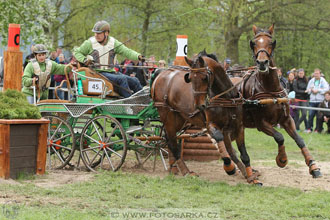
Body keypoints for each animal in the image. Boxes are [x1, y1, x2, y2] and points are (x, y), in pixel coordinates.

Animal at [151, 51, 262, 184]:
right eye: (190, 78)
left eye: (205, 78)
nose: (200, 106)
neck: (225, 98)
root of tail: (161, 75)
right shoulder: (211, 125)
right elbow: (223, 145)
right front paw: (229, 167)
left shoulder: (238, 126)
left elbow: (240, 153)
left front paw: (250, 176)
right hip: (168, 117)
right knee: (172, 141)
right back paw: (186, 171)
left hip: (180, 119)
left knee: (169, 138)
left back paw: (174, 167)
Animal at [241, 24, 320, 179]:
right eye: (254, 43)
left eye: (271, 42)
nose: (262, 63)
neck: (270, 89)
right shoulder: (261, 123)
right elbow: (279, 136)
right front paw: (282, 159)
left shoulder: (286, 119)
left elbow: (299, 139)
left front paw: (313, 166)